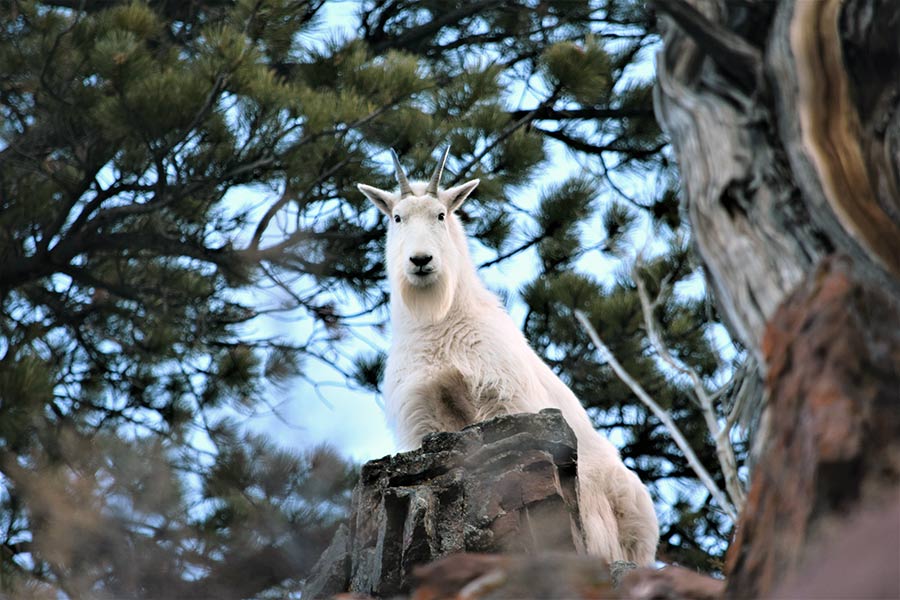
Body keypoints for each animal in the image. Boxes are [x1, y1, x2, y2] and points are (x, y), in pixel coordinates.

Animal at [358, 148, 660, 564]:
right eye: (397, 217)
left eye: (441, 214)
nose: (420, 260)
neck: (437, 323)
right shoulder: (423, 418)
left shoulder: (501, 396)